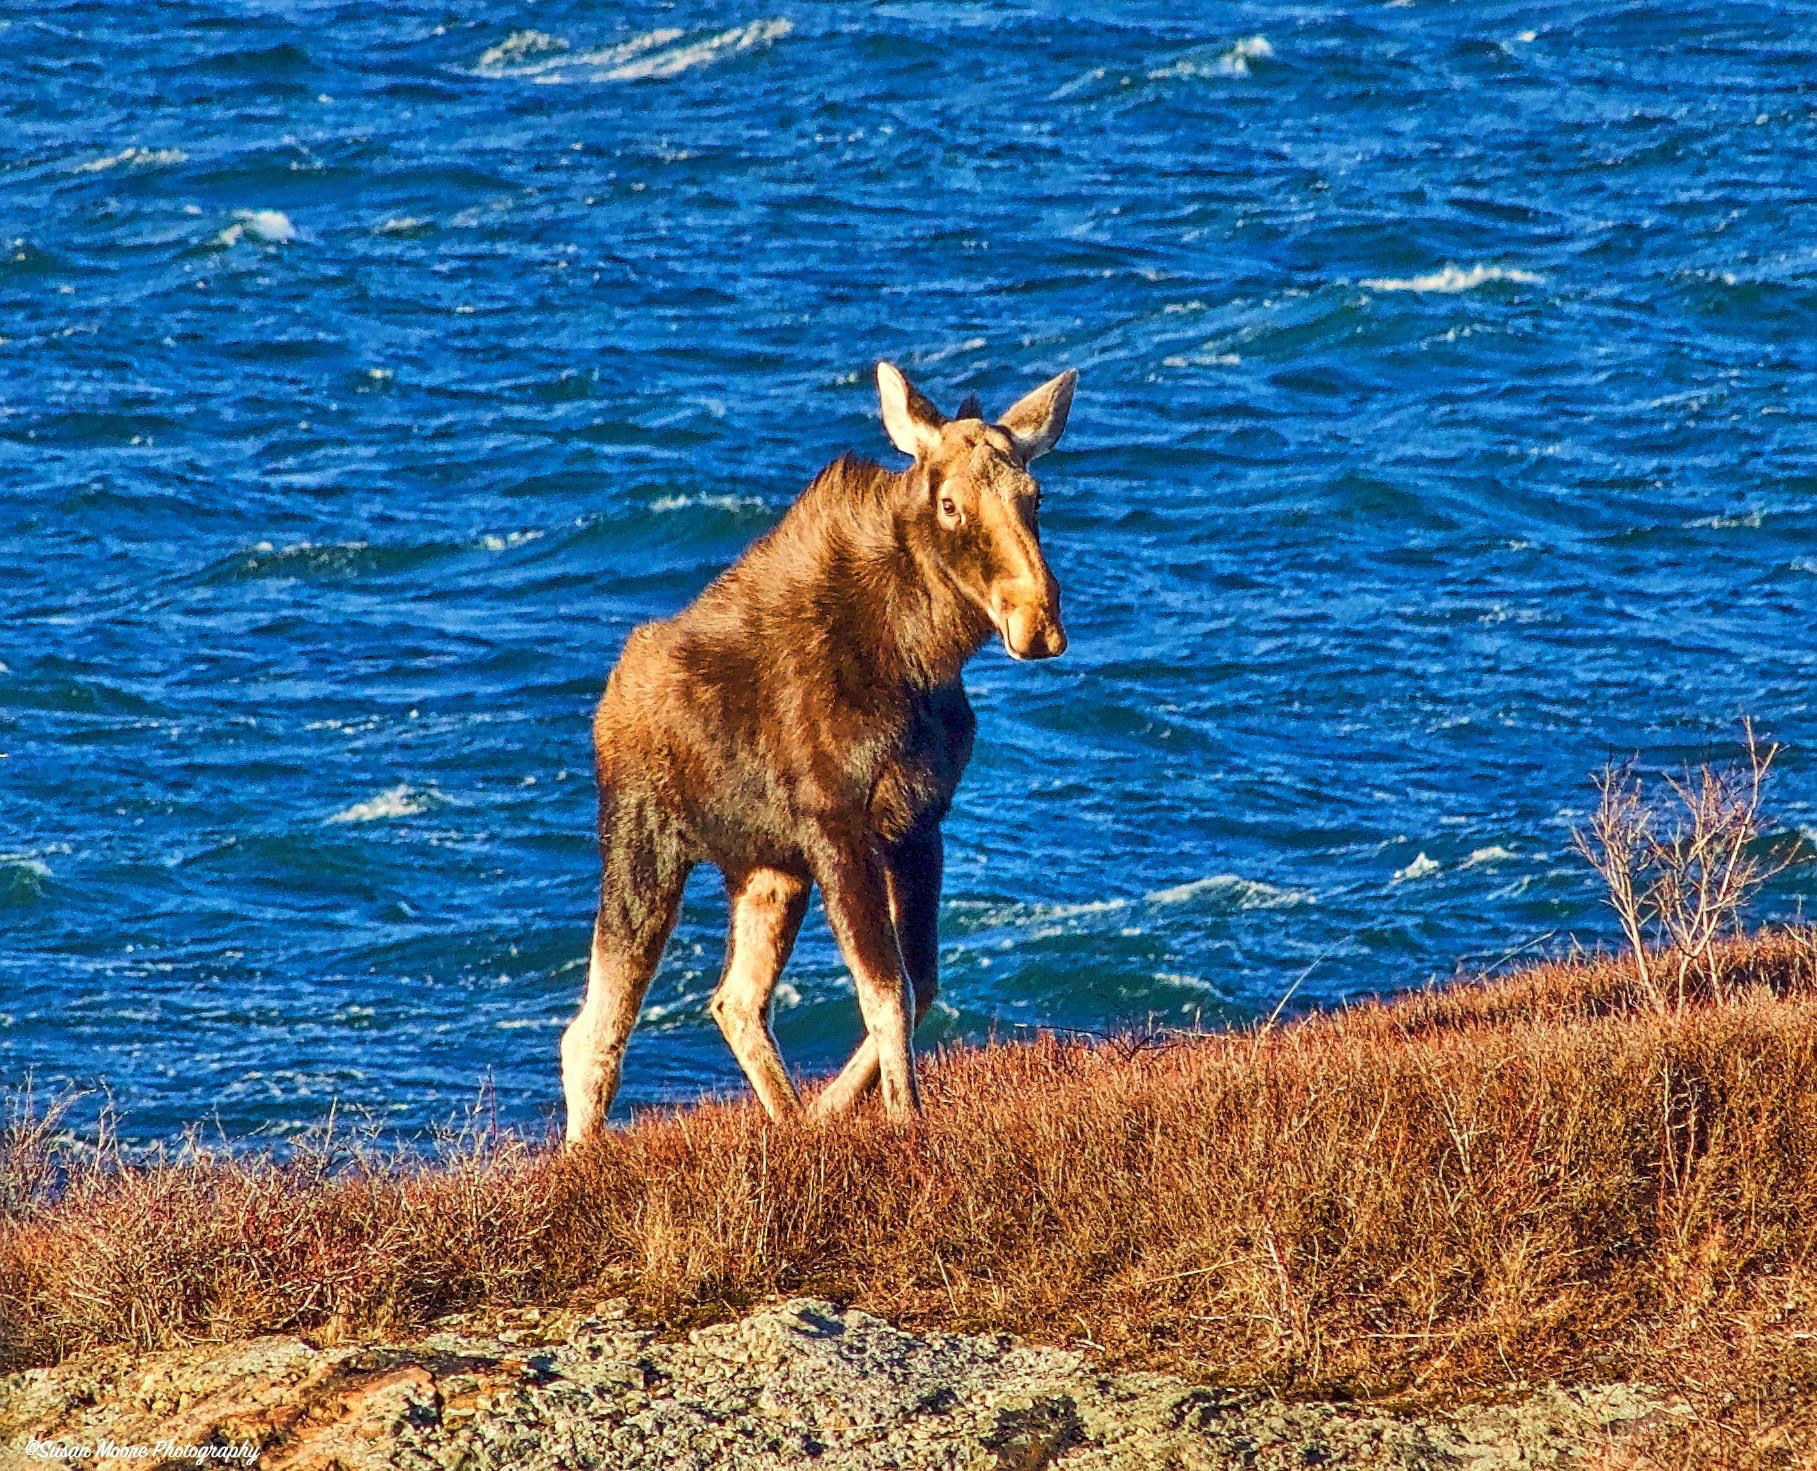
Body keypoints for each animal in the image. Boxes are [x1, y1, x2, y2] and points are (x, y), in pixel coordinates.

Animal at [560, 360, 1076, 1143]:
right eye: (950, 505)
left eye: (1035, 496)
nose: (1038, 621)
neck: (922, 658)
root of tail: (607, 702)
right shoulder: (838, 827)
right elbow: (886, 990)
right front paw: (903, 1119)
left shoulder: (918, 825)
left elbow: (920, 986)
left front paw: (846, 1110)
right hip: (641, 845)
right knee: (594, 1028)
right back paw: (583, 1156)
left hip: (768, 871)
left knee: (733, 1001)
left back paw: (794, 1123)